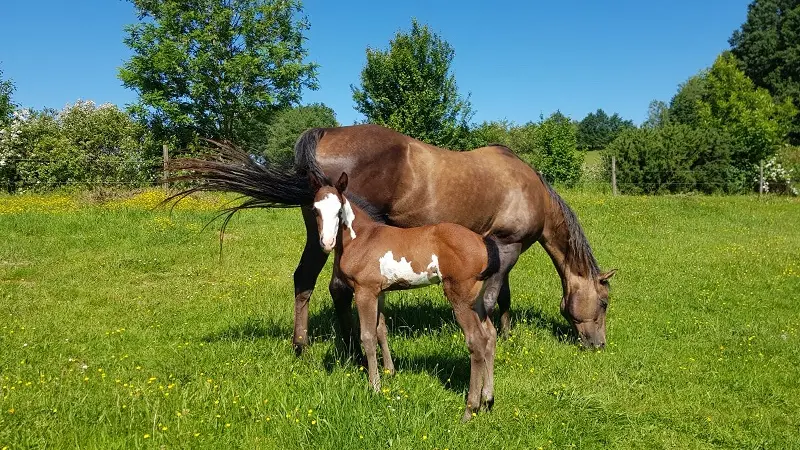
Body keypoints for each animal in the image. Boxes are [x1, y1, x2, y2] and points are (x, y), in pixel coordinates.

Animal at [290, 124, 616, 352]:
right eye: (603, 303)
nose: (598, 345)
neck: (531, 190)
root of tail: (327, 133)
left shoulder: (500, 249)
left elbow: (504, 295)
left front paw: (507, 333)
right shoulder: (508, 246)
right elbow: (491, 298)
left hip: (320, 236)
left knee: (304, 279)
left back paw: (301, 346)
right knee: (338, 288)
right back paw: (352, 351)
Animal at [310, 172, 500, 422]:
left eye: (339, 209)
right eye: (315, 209)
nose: (327, 243)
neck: (362, 238)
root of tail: (482, 242)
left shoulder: (364, 291)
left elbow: (368, 336)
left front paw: (375, 386)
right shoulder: (379, 292)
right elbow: (381, 330)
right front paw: (390, 373)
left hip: (459, 298)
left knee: (476, 341)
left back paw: (470, 409)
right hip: (476, 300)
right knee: (490, 336)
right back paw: (488, 400)